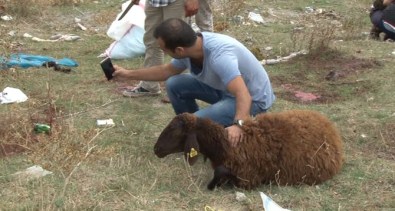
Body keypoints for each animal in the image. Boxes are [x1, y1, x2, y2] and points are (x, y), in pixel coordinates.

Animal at [153, 110, 344, 190]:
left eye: (173, 130)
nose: (156, 149)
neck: (225, 146)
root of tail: (331, 129)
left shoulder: (248, 178)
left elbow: (221, 172)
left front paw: (212, 185)